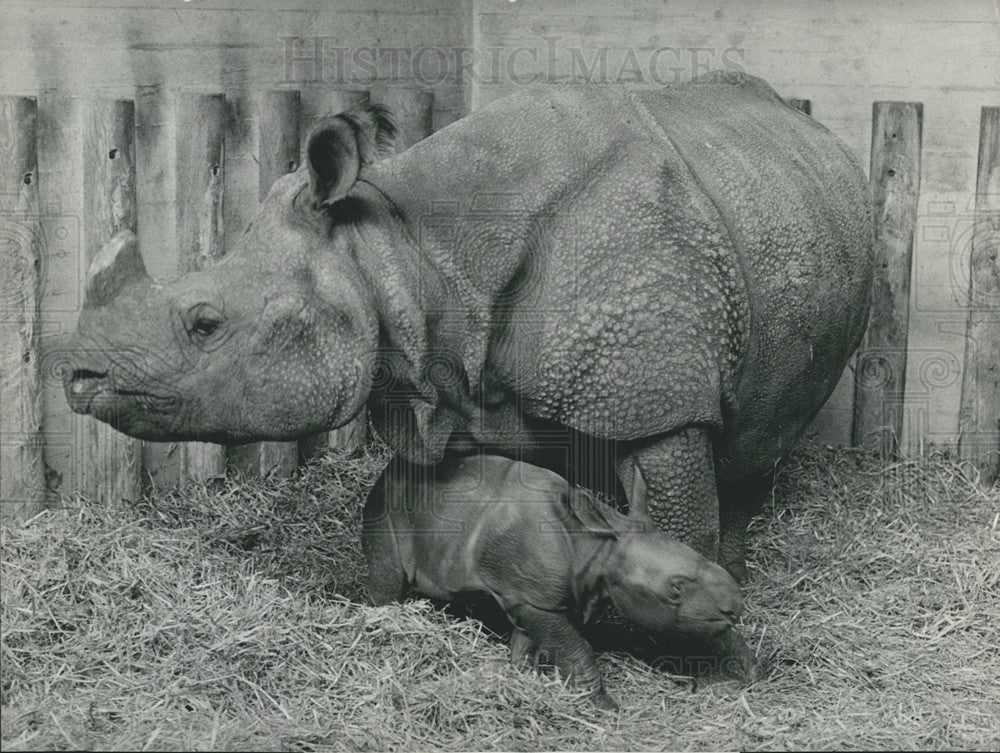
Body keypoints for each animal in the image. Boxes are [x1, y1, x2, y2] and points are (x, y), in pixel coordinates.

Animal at [64, 71, 872, 624]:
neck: (397, 249)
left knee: (757, 439)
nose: (78, 376)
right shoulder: (447, 379)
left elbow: (674, 516)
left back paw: (738, 565)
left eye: (204, 323)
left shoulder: (658, 398)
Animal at [363, 452, 744, 709]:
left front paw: (522, 678)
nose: (735, 607)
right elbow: (576, 649)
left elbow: (528, 641)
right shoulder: (532, 599)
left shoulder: (534, 594)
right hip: (387, 505)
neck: (598, 547)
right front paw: (602, 706)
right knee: (386, 577)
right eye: (676, 589)